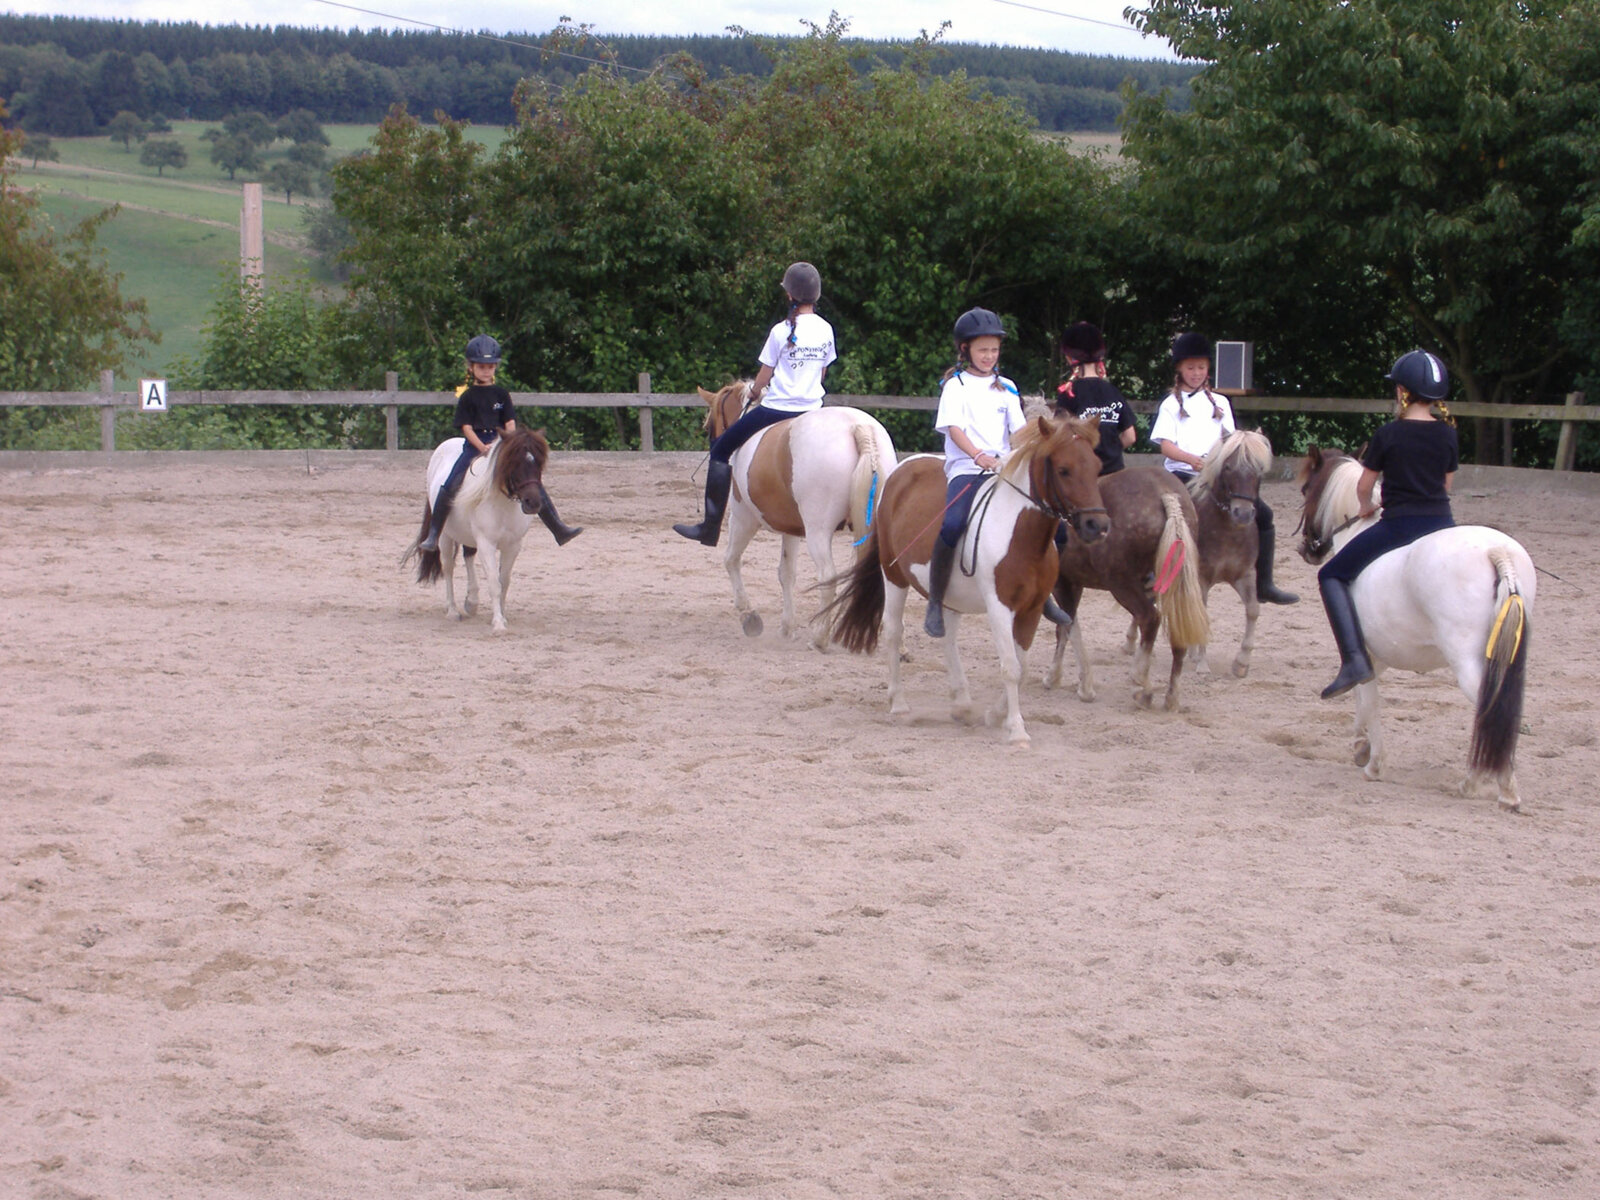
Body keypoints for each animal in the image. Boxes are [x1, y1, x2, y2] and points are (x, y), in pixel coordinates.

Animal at [400, 432, 550, 640]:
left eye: (539, 463)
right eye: (514, 463)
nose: (533, 502)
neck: (502, 503)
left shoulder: (513, 545)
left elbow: (504, 581)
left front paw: (502, 617)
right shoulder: (486, 543)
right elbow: (494, 583)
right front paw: (498, 624)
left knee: (468, 555)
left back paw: (471, 602)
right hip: (445, 536)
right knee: (448, 568)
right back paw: (453, 611)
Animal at [697, 382, 908, 649]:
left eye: (708, 425)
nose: (713, 442)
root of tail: (858, 427)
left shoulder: (743, 517)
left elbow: (730, 560)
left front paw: (748, 614)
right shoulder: (791, 529)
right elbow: (786, 573)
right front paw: (787, 627)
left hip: (817, 531)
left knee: (828, 577)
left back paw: (820, 637)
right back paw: (897, 643)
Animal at [832, 419, 1107, 748]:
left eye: (1097, 466)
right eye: (1064, 469)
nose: (1098, 526)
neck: (1018, 533)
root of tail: (902, 469)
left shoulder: (1032, 609)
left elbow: (1022, 666)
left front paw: (996, 715)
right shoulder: (999, 607)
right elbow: (1011, 667)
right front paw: (1016, 730)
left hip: (951, 595)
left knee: (948, 638)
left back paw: (961, 704)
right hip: (894, 576)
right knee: (894, 632)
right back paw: (898, 702)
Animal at [1043, 467, 1203, 713]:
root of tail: (1165, 493)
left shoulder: (1062, 584)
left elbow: (1068, 627)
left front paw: (1080, 685)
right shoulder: (1072, 583)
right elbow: (1065, 628)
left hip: (1121, 584)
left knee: (1149, 618)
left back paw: (1141, 686)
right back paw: (1172, 696)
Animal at [1292, 448, 1529, 812]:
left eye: (1307, 490)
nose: (1307, 549)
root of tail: (1497, 552)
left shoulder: (1364, 655)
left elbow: (1368, 699)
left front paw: (1374, 764)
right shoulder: (1376, 656)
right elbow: (1363, 700)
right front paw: (1361, 746)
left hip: (1468, 661)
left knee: (1488, 709)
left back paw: (1483, 785)